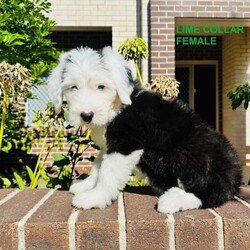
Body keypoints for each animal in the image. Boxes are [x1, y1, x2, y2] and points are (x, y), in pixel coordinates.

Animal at [47, 47, 241, 215]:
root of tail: (235, 175)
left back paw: (172, 199)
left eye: (101, 86)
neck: (117, 107)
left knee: (211, 194)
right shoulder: (109, 145)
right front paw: (85, 185)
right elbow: (98, 165)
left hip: (192, 153)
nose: (86, 115)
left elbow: (107, 172)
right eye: (73, 87)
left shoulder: (126, 144)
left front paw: (95, 197)